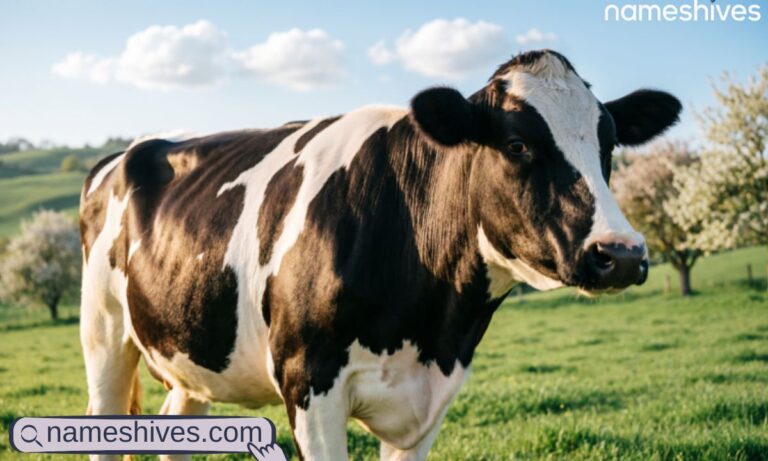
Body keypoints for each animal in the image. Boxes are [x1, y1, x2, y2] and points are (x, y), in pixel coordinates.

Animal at [79, 50, 681, 461]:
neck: (430, 324)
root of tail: (133, 149)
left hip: (189, 354)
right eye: (517, 145)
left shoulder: (428, 402)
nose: (622, 253)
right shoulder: (308, 384)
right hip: (104, 333)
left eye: (607, 145)